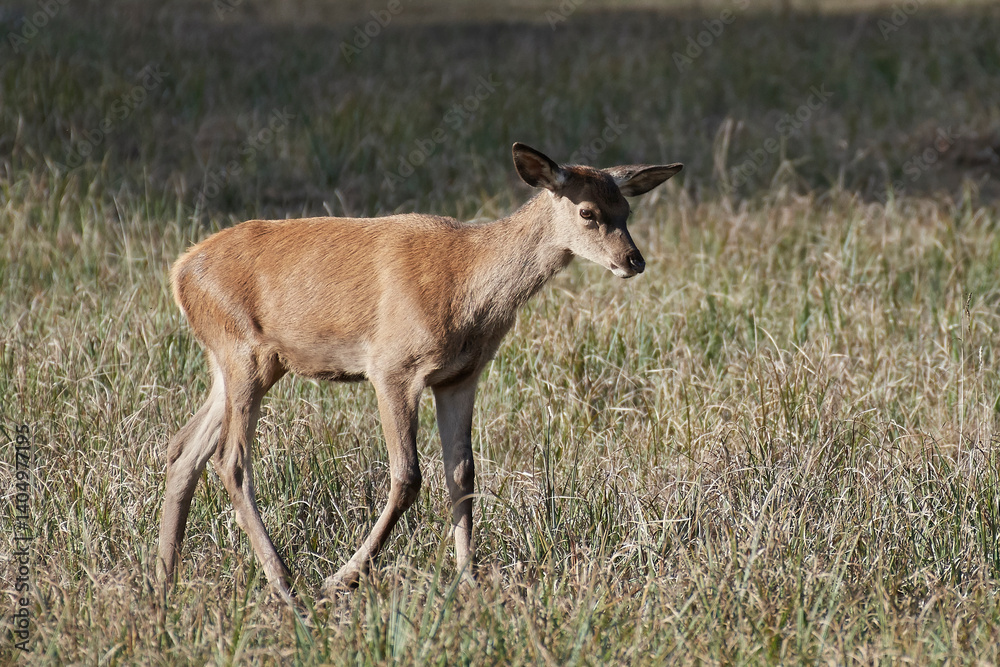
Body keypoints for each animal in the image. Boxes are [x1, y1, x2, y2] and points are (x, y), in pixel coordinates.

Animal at [157, 142, 682, 600]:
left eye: (626, 210)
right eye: (588, 212)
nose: (633, 260)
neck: (469, 288)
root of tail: (179, 272)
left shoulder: (460, 377)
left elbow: (463, 473)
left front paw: (469, 579)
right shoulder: (392, 365)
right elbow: (408, 476)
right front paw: (342, 578)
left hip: (237, 362)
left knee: (184, 448)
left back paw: (164, 577)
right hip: (243, 351)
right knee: (231, 459)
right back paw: (285, 583)